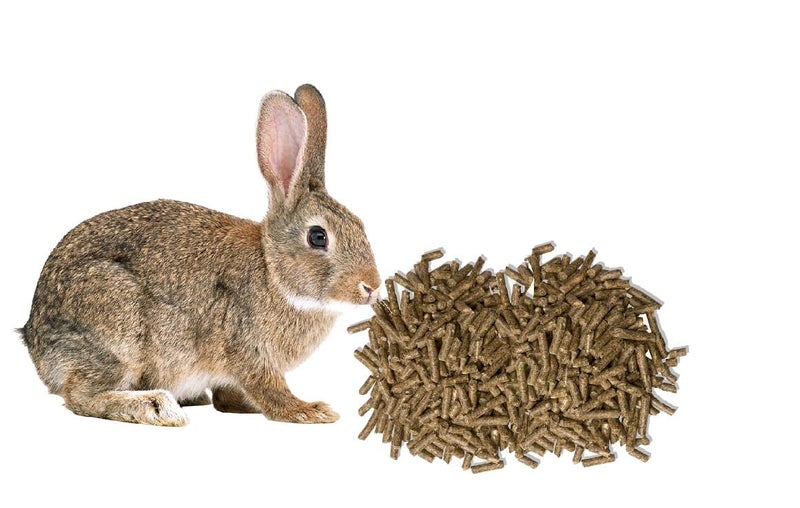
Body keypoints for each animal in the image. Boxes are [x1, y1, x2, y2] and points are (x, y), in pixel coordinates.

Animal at [20, 84, 381, 426]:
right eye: (318, 237)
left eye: (360, 225)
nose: (372, 287)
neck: (272, 272)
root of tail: (35, 340)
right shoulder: (247, 347)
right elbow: (269, 389)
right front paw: (310, 410)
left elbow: (230, 395)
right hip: (118, 327)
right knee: (82, 397)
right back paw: (155, 407)